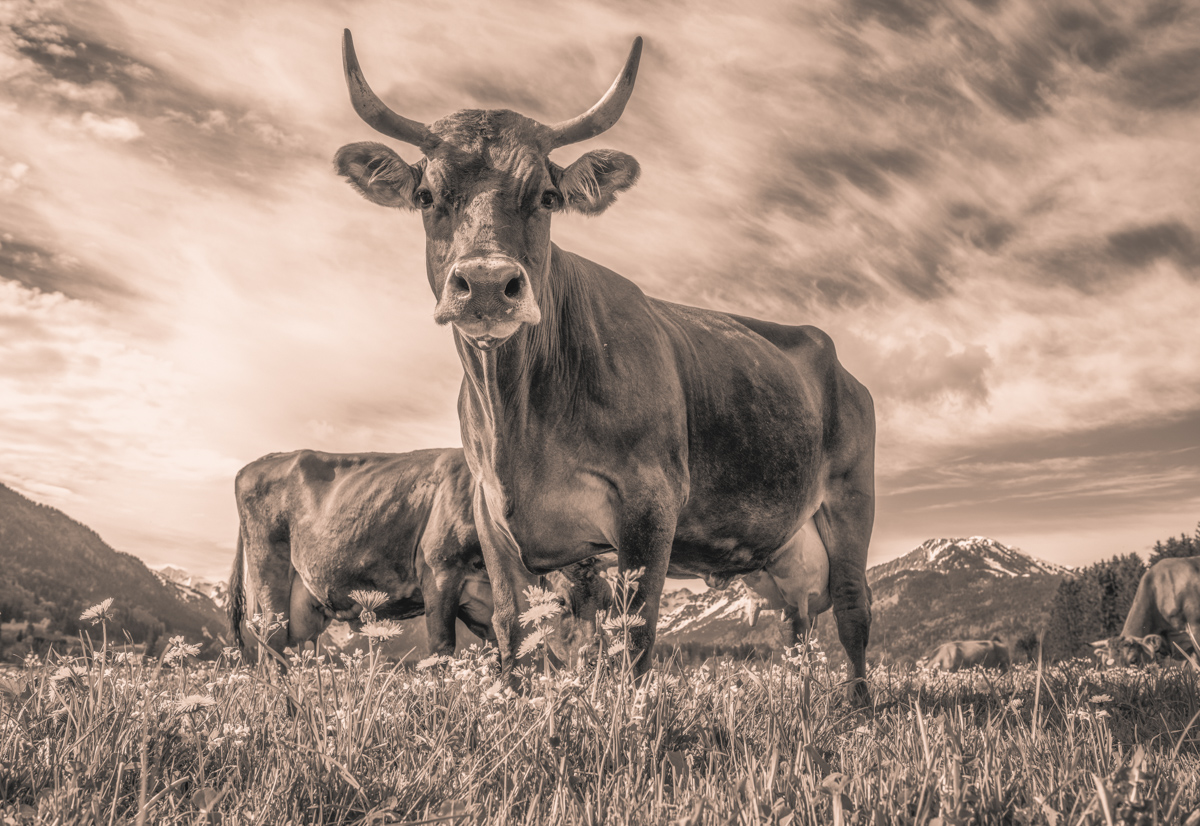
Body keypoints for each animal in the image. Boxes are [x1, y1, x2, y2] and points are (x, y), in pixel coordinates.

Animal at [228, 448, 606, 662]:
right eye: (560, 601)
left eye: (605, 598)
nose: (592, 657)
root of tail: (260, 462)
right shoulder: (439, 573)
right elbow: (442, 646)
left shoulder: (481, 598)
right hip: (269, 584)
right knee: (272, 651)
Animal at [334, 32, 876, 704]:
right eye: (427, 196)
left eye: (545, 197)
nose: (486, 284)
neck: (520, 419)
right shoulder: (492, 512)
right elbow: (515, 626)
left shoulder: (650, 502)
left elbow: (636, 628)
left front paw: (634, 715)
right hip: (787, 550)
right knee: (797, 625)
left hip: (851, 497)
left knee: (853, 608)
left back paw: (858, 705)